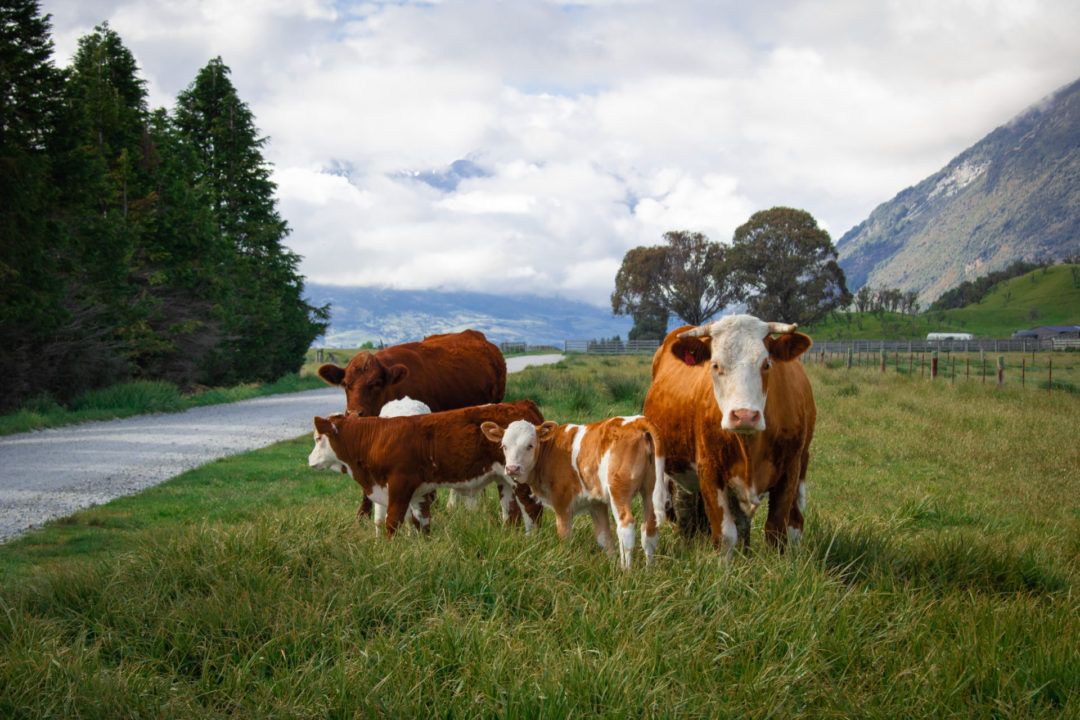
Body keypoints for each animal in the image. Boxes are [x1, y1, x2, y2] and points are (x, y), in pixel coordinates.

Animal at [309, 400, 545, 538]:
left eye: (318, 438)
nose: (310, 460)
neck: (378, 438)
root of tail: (522, 404)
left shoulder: (399, 485)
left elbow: (392, 522)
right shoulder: (418, 492)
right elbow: (421, 523)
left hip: (520, 478)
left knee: (532, 510)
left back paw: (531, 542)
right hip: (504, 479)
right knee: (511, 513)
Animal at [481, 416, 667, 570]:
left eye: (530, 445)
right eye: (504, 446)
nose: (512, 468)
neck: (551, 450)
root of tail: (637, 421)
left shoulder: (562, 502)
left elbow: (564, 535)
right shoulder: (596, 503)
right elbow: (604, 537)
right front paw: (612, 565)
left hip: (618, 492)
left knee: (626, 529)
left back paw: (625, 573)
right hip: (649, 490)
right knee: (649, 530)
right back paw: (649, 571)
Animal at [643, 314, 815, 557]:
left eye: (766, 364)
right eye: (715, 365)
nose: (745, 416)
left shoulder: (789, 470)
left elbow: (776, 531)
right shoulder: (710, 471)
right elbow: (724, 535)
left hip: (802, 464)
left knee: (794, 519)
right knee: (690, 514)